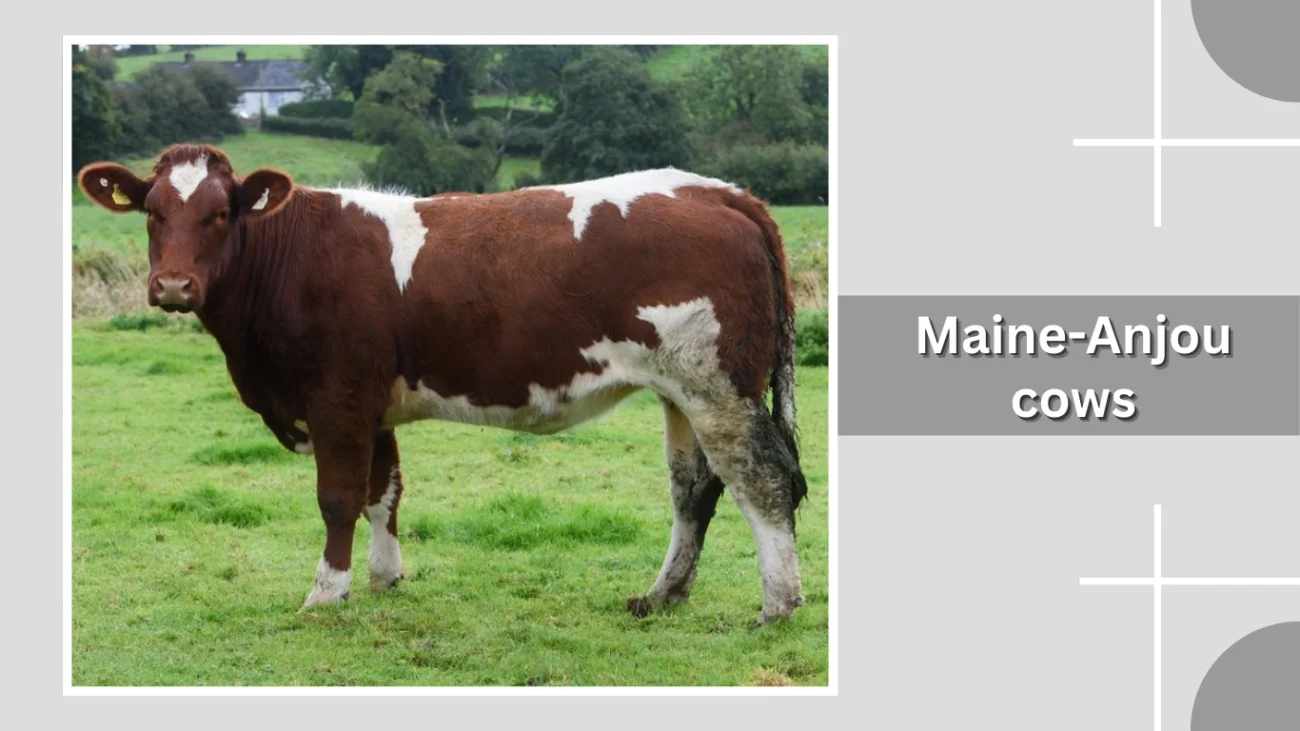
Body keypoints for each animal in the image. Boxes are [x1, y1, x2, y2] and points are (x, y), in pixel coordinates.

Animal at [77, 144, 808, 626]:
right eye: (152, 212)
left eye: (221, 213)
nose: (174, 285)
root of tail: (718, 190)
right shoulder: (371, 406)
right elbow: (384, 493)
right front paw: (384, 577)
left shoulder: (337, 399)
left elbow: (338, 499)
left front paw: (326, 593)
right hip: (681, 391)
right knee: (695, 490)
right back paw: (661, 596)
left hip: (718, 386)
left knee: (763, 481)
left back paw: (777, 604)